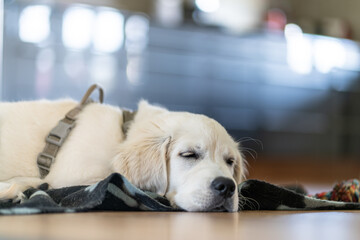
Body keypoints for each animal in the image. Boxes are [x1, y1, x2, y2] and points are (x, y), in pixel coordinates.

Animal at [0, 100, 245, 212]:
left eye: (230, 162)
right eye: (189, 154)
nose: (227, 187)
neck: (122, 134)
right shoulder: (70, 176)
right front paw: (15, 188)